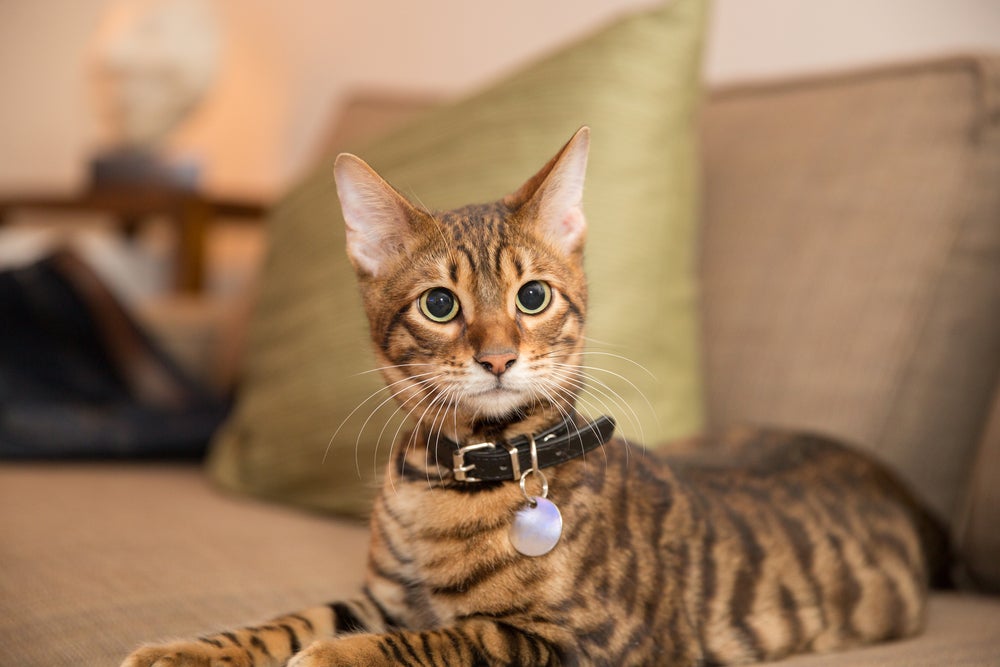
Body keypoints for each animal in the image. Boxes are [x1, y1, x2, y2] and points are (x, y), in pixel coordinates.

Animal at [121, 128, 948, 664]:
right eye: (440, 304)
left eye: (533, 294)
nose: (496, 356)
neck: (449, 480)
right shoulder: (380, 592)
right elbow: (296, 616)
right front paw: (191, 648)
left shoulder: (584, 639)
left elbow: (450, 637)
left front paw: (335, 655)